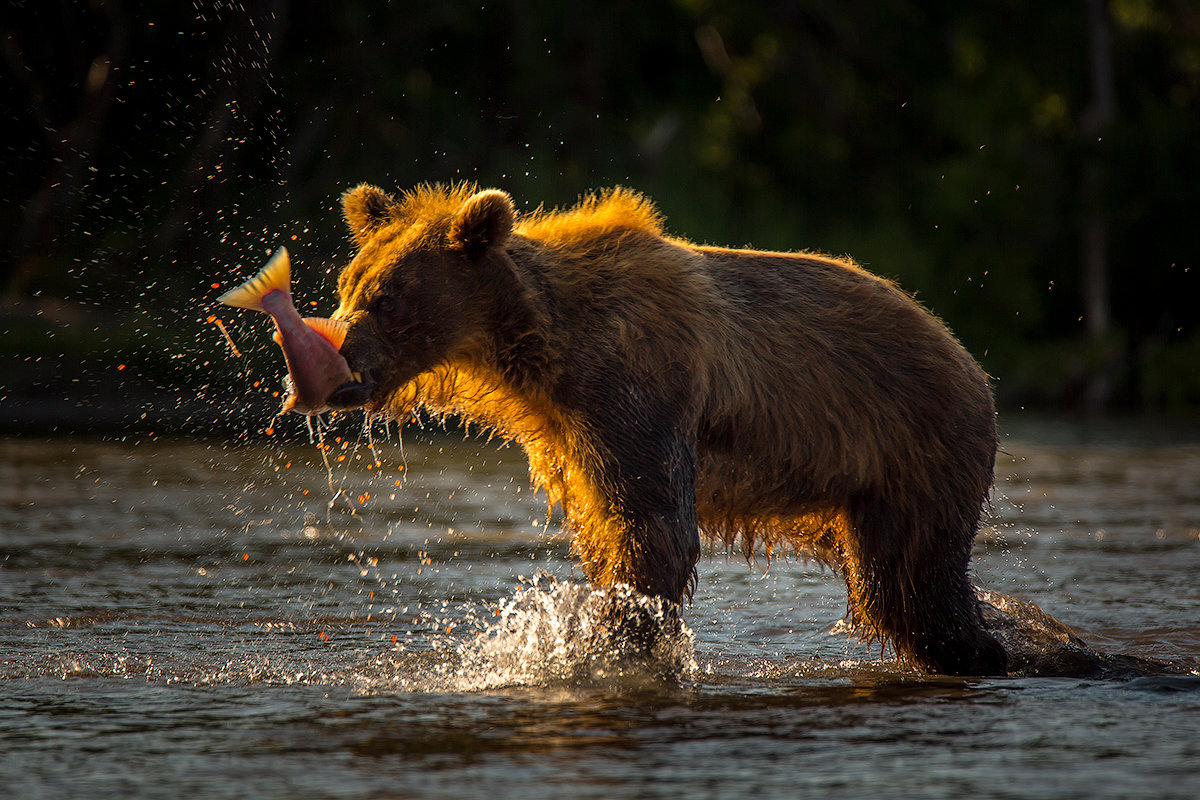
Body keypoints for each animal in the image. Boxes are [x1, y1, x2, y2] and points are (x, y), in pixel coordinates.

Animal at [324, 181, 1008, 676]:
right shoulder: (571, 435)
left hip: (914, 444)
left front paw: (607, 637)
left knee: (915, 583)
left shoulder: (637, 388)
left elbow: (652, 529)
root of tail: (970, 361)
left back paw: (986, 649)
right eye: (347, 284)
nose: (338, 367)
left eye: (387, 298)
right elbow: (609, 528)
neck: (547, 350)